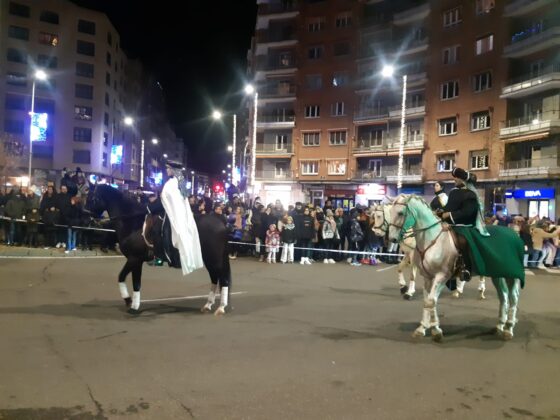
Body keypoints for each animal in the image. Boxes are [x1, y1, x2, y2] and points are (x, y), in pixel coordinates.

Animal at [85, 185, 232, 316]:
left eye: (92, 198)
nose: (86, 218)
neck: (133, 223)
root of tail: (221, 223)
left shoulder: (134, 259)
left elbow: (131, 281)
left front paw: (132, 306)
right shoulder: (136, 261)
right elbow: (126, 279)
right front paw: (130, 301)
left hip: (214, 261)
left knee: (223, 279)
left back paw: (221, 307)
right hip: (210, 261)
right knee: (215, 279)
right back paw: (208, 305)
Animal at [388, 195, 524, 340]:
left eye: (400, 213)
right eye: (390, 212)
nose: (392, 238)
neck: (432, 238)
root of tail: (515, 235)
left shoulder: (442, 276)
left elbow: (431, 301)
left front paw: (435, 330)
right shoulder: (428, 277)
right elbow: (428, 301)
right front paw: (424, 328)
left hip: (512, 276)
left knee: (513, 298)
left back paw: (508, 329)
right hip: (498, 275)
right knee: (503, 297)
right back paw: (499, 325)